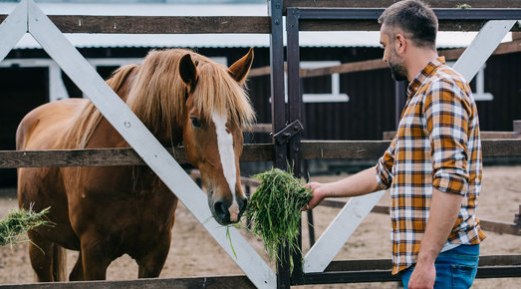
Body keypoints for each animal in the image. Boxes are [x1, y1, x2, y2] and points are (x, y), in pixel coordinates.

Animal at [17, 48, 256, 280]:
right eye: (195, 120)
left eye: (240, 120)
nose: (232, 204)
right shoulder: (94, 253)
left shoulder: (155, 254)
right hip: (38, 240)